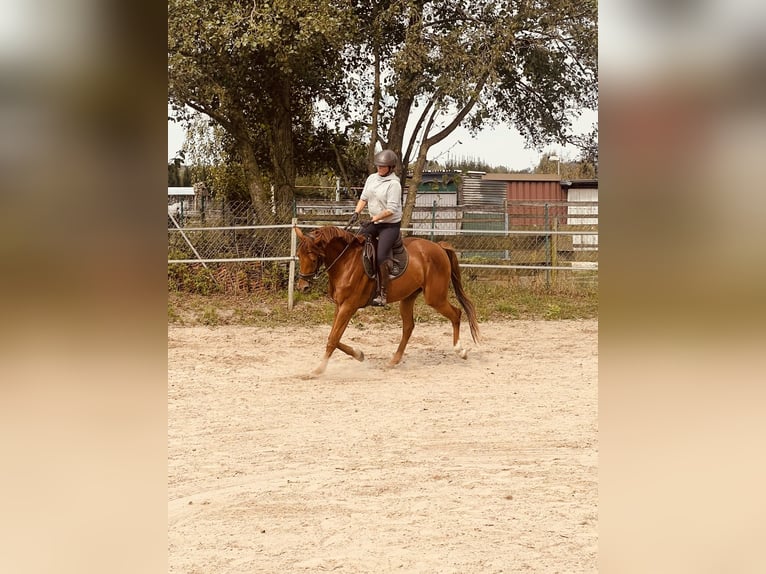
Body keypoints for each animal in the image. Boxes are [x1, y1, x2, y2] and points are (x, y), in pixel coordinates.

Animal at [294, 225, 480, 378]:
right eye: (298, 255)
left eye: (312, 257)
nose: (303, 287)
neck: (346, 261)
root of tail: (439, 247)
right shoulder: (340, 306)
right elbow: (333, 336)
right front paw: (359, 354)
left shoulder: (348, 306)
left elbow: (333, 339)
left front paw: (317, 371)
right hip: (408, 298)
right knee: (408, 327)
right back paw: (393, 361)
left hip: (435, 298)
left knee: (456, 314)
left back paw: (460, 350)